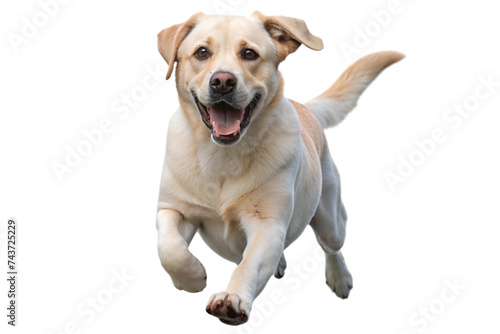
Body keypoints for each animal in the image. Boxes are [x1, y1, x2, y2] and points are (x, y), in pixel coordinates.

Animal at [155, 11, 402, 326]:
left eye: (249, 53)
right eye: (201, 52)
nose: (222, 81)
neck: (223, 155)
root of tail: (304, 107)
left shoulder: (268, 223)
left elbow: (249, 265)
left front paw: (231, 299)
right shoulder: (173, 209)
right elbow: (169, 247)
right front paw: (191, 278)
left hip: (330, 218)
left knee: (331, 246)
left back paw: (339, 277)